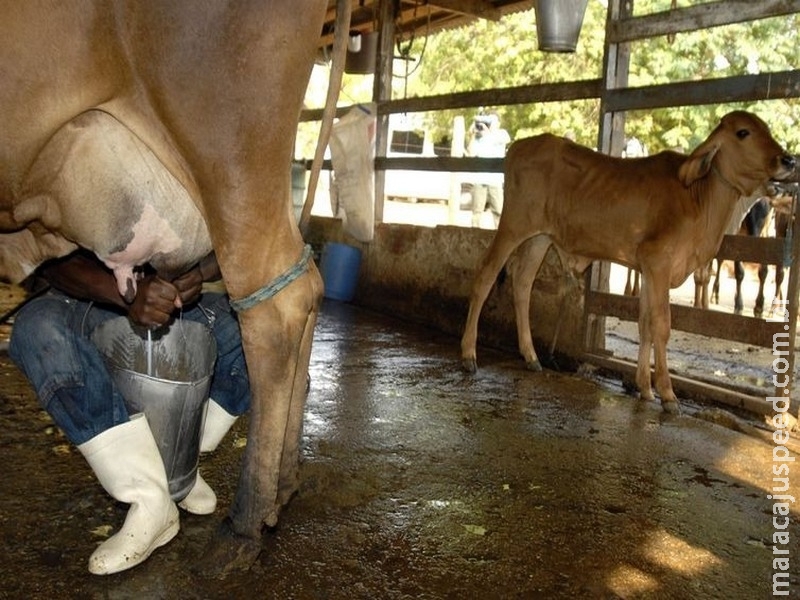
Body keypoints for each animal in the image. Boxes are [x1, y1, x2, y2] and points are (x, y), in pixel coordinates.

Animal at [462, 111, 792, 412]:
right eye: (743, 132)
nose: (788, 160)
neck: (699, 197)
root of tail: (521, 146)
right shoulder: (658, 262)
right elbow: (661, 325)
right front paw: (668, 394)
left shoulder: (647, 269)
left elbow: (645, 323)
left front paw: (644, 388)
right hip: (513, 225)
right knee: (485, 275)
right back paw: (469, 354)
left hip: (540, 237)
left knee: (522, 283)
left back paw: (531, 357)